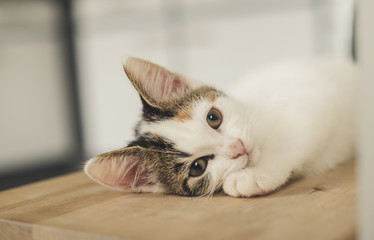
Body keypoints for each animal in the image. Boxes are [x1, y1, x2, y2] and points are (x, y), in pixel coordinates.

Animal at [84, 56, 356, 197]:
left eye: (213, 117)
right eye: (198, 167)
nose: (238, 147)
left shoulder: (313, 100)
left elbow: (290, 135)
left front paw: (254, 174)